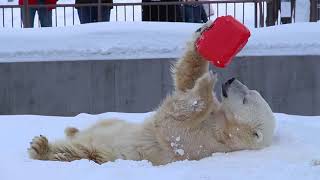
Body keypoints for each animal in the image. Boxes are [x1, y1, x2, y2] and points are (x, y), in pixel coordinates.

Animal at [28, 21, 276, 166]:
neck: (225, 129)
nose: (231, 80)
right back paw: (71, 129)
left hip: (99, 152)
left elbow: (172, 123)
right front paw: (203, 36)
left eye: (245, 98)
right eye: (250, 91)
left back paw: (40, 146)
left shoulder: (199, 143)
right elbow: (185, 83)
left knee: (75, 152)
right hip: (110, 123)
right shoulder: (214, 116)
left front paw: (206, 85)